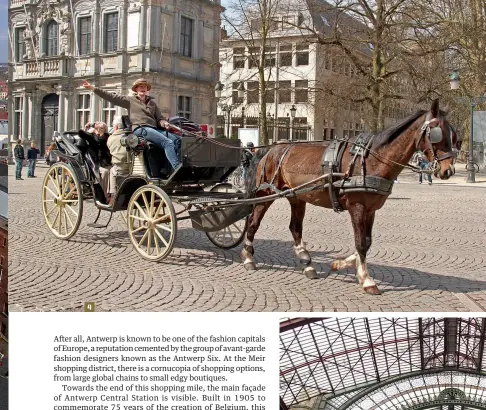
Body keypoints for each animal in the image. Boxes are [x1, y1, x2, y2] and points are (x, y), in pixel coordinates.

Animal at [242, 101, 456, 296]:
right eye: (437, 133)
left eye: (454, 136)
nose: (448, 171)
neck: (373, 159)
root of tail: (270, 150)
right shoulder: (358, 207)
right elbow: (360, 242)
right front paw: (366, 279)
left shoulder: (370, 209)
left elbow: (366, 242)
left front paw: (342, 264)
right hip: (266, 194)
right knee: (253, 222)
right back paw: (248, 257)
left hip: (296, 196)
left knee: (295, 227)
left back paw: (307, 263)